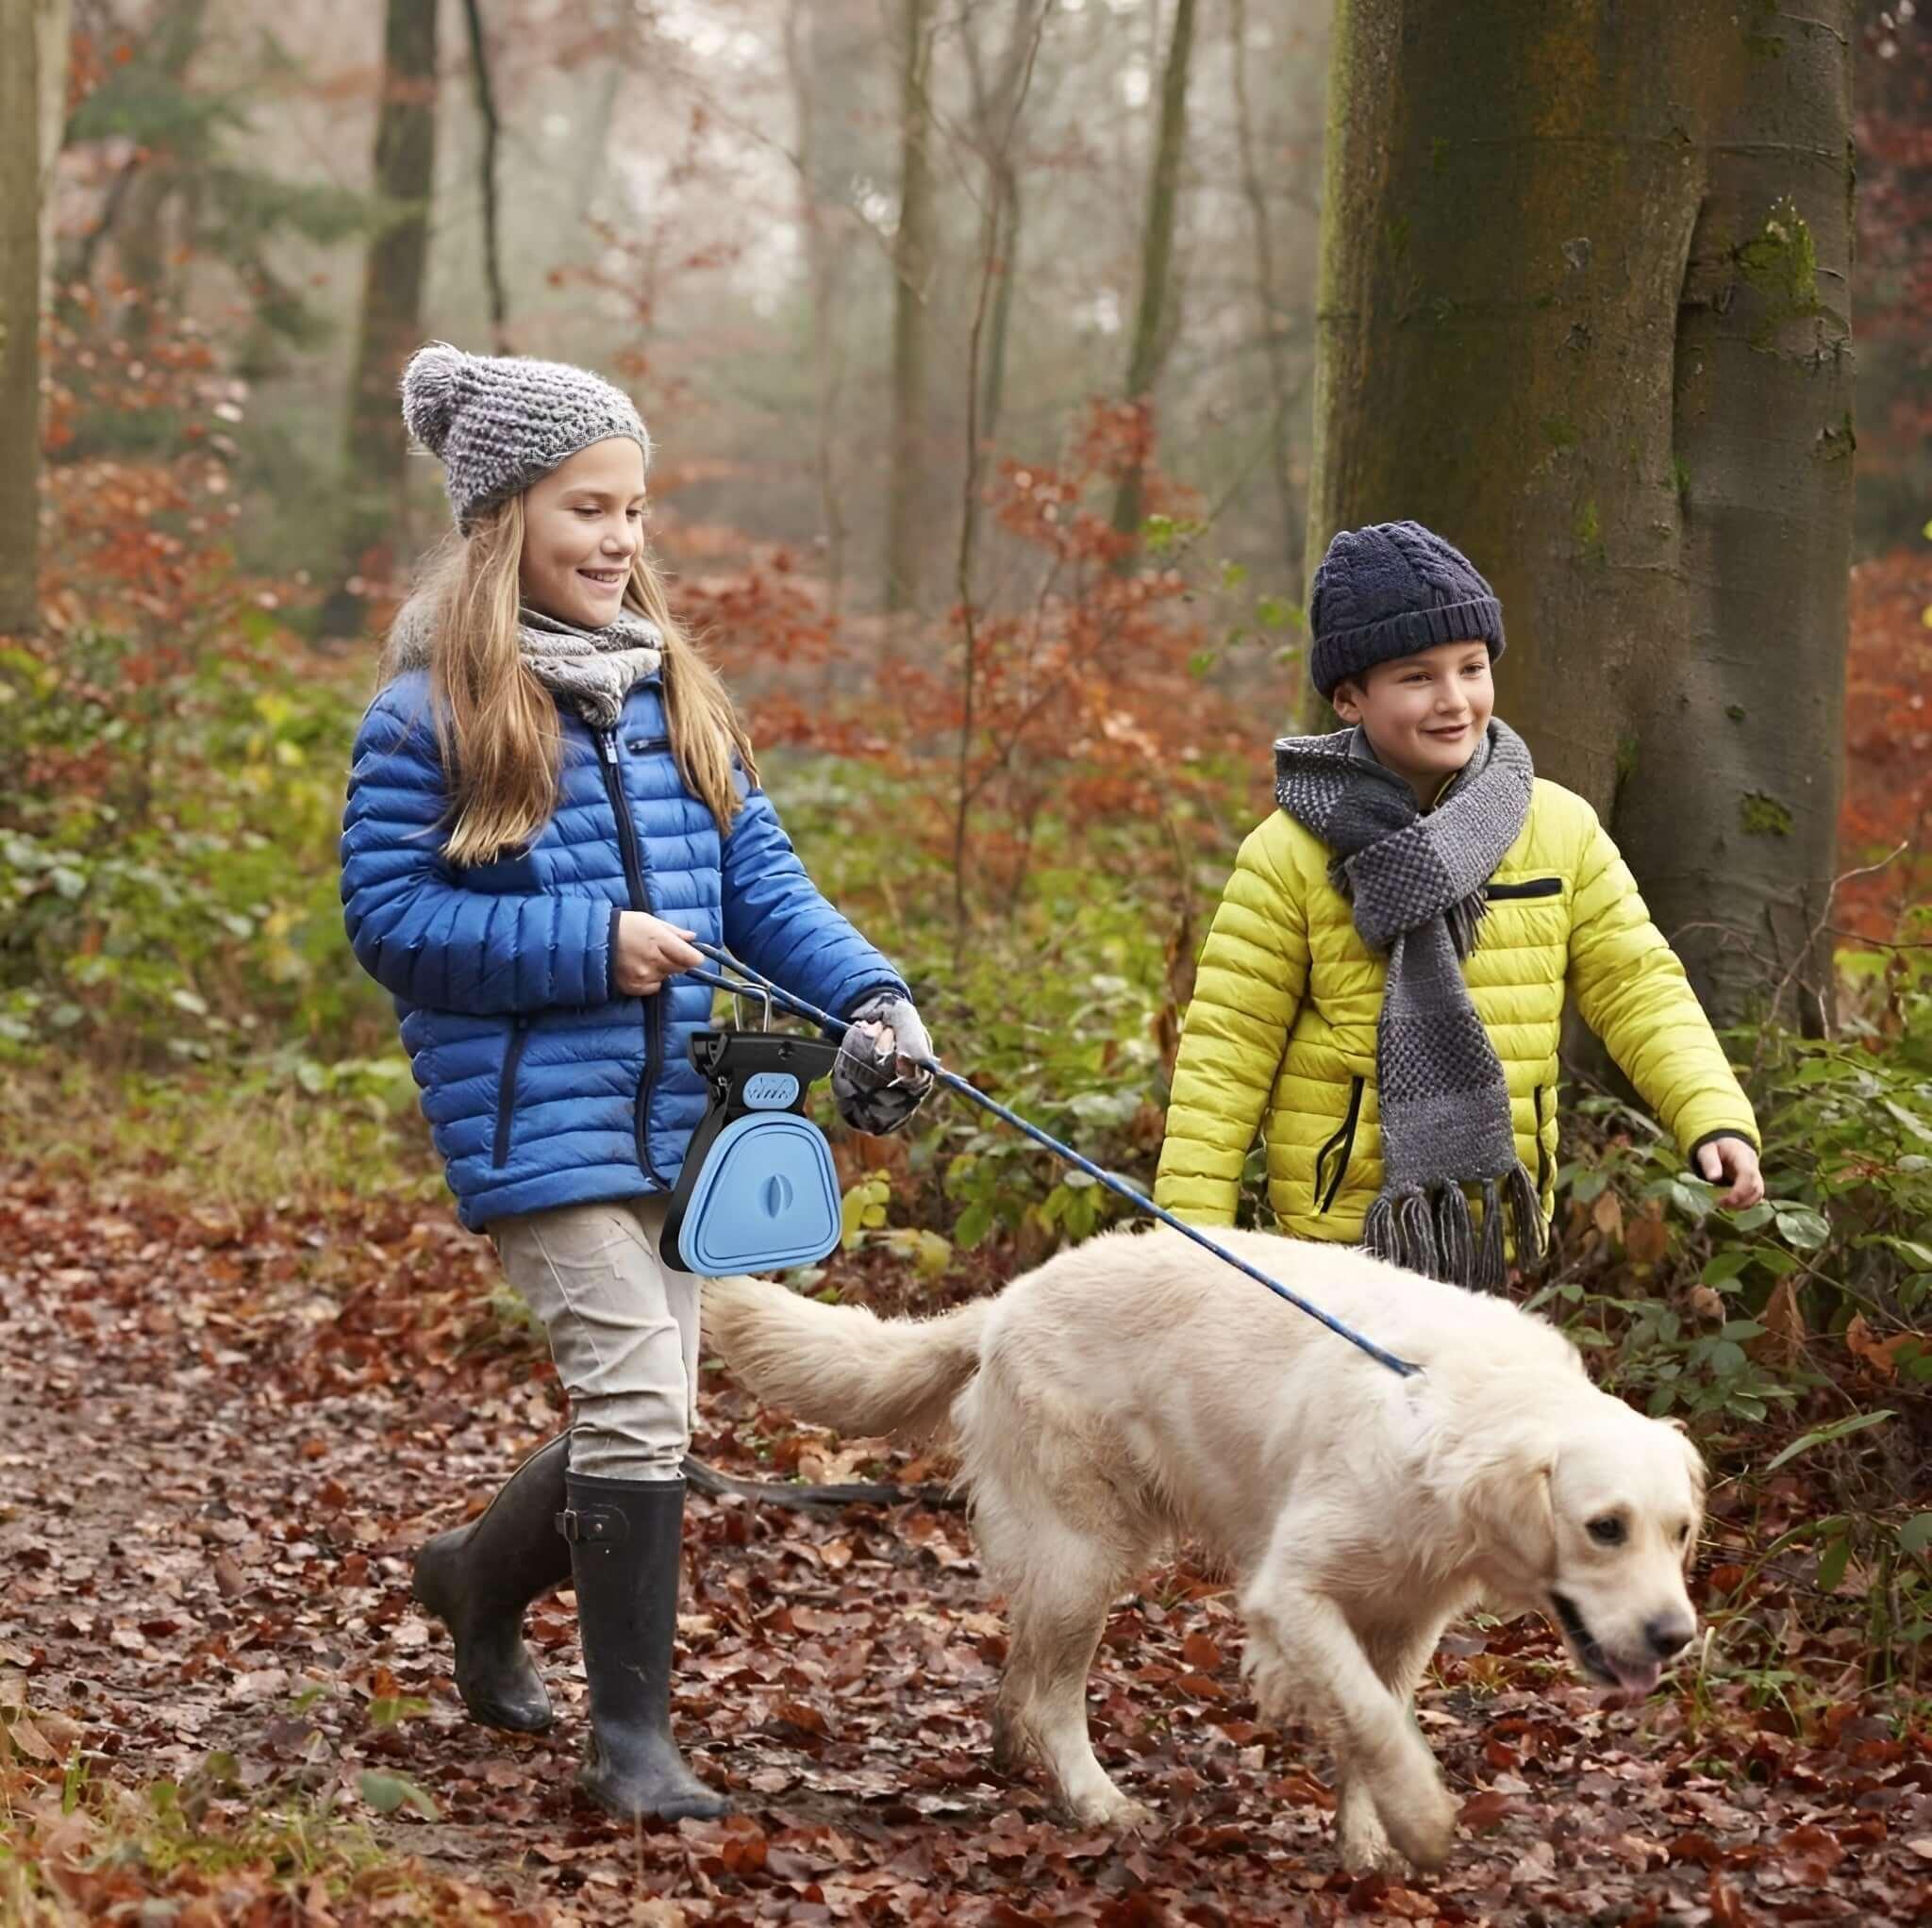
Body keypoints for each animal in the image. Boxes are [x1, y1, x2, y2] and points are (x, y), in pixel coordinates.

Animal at [703, 1228, 1700, 1877]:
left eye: (1681, 1530)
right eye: (1605, 1526)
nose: (1675, 1637)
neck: (1452, 1414)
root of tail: (1005, 1304)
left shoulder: (1404, 1621)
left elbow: (1374, 1726)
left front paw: (1367, 1841)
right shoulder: (1291, 1594)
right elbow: (1373, 1720)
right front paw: (1420, 1823)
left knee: (1022, 1677)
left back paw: (1017, 1757)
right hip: (1084, 1558)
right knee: (1055, 1697)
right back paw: (1095, 1799)